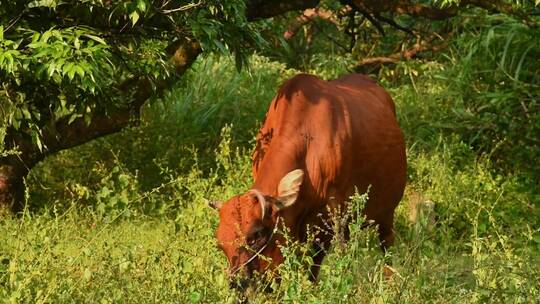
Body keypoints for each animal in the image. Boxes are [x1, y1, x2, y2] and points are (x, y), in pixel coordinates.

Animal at [209, 72, 408, 288]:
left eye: (257, 234)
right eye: (221, 244)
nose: (238, 284)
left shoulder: (335, 214)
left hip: (386, 214)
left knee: (387, 246)